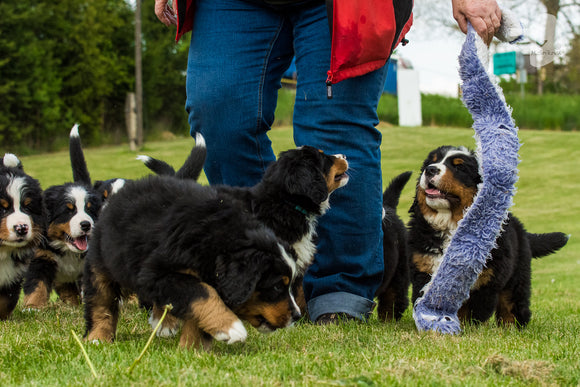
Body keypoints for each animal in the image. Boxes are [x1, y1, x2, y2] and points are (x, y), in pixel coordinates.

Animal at [22, 124, 101, 310]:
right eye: (68, 211)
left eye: (89, 210)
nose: (86, 225)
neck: (68, 250)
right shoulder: (41, 257)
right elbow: (37, 284)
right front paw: (32, 306)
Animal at [410, 146, 568, 328]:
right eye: (431, 161)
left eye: (459, 167)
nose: (430, 169)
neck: (451, 224)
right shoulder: (424, 269)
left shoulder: (485, 280)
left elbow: (472, 314)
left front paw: (468, 329)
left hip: (516, 281)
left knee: (512, 308)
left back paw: (512, 329)